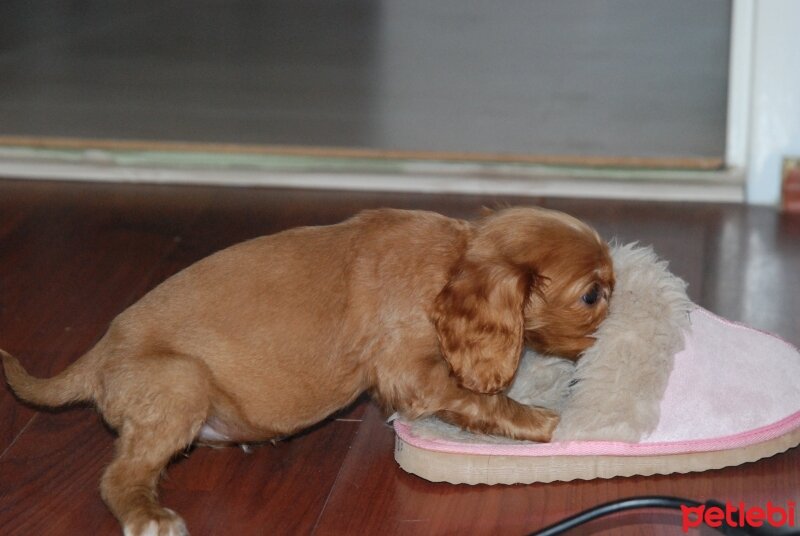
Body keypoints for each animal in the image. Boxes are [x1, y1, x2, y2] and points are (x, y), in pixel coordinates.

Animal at [1, 206, 612, 536]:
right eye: (593, 294)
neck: (452, 261)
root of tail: (96, 356)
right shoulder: (409, 371)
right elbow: (483, 399)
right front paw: (547, 422)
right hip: (180, 382)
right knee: (119, 476)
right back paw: (150, 515)